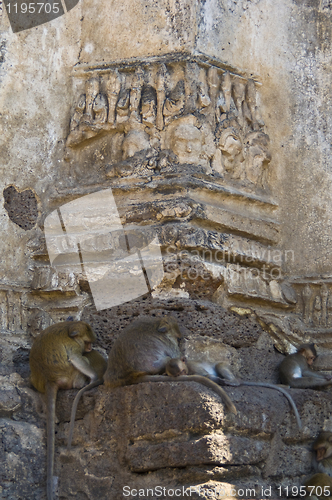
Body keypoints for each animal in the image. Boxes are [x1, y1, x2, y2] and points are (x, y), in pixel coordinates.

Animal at [29, 320, 102, 500]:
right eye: (87, 342)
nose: (90, 348)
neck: (69, 326)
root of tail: (49, 379)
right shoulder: (73, 347)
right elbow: (76, 358)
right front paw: (95, 378)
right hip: (70, 376)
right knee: (79, 362)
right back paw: (82, 383)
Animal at [105, 316, 237, 414]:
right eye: (178, 339)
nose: (180, 340)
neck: (155, 324)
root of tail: (129, 376)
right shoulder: (168, 342)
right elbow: (176, 356)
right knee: (168, 359)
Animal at [165, 360, 300, 430]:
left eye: (182, 371)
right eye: (177, 374)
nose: (183, 374)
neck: (188, 368)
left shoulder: (193, 367)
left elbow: (207, 375)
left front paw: (218, 381)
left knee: (220, 365)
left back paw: (233, 381)